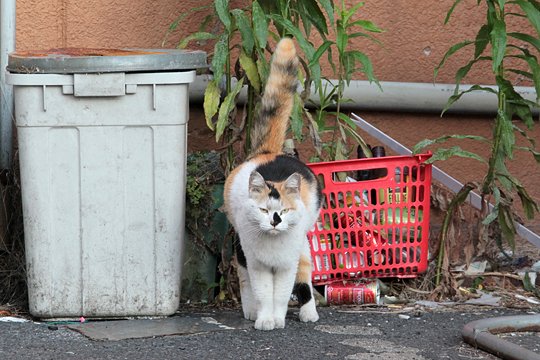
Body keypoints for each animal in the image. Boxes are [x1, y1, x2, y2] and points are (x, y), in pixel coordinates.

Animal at [223, 38, 320, 330]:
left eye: (284, 210)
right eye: (264, 210)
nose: (275, 221)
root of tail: (267, 152)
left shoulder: (287, 263)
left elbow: (282, 293)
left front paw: (277, 319)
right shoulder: (257, 263)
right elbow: (264, 291)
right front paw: (264, 319)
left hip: (303, 240)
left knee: (305, 271)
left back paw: (309, 312)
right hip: (240, 243)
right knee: (244, 275)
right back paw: (251, 310)